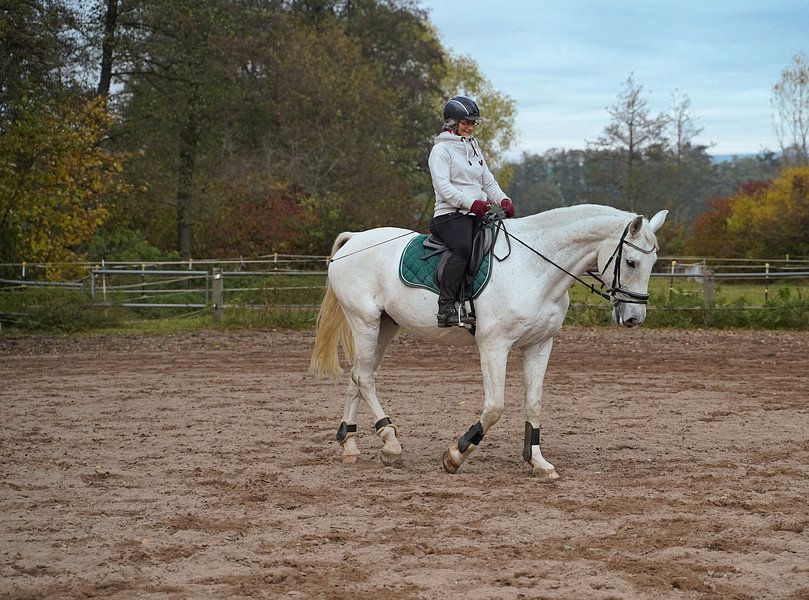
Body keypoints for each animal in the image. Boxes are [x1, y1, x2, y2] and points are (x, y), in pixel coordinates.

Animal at [309, 204, 668, 480]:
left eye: (652, 263)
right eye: (631, 262)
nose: (634, 317)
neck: (536, 268)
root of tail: (355, 239)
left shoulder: (540, 345)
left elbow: (534, 403)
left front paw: (538, 462)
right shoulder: (494, 345)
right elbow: (495, 407)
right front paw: (455, 455)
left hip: (384, 326)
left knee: (359, 375)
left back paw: (350, 445)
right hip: (365, 322)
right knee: (364, 377)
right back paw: (390, 444)